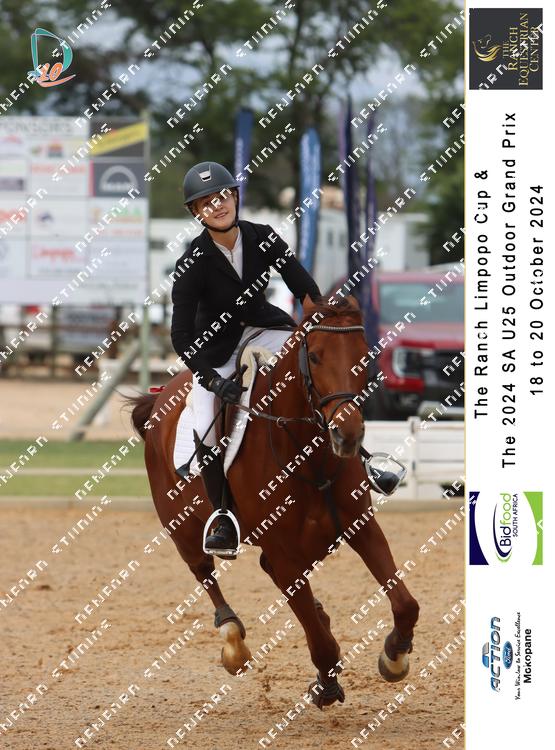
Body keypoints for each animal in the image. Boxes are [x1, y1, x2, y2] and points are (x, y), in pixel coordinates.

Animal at [125, 295, 419, 708]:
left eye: (363, 355)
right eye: (315, 357)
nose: (347, 435)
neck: (308, 456)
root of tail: (159, 398)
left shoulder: (360, 527)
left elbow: (405, 603)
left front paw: (395, 656)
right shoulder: (284, 552)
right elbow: (319, 640)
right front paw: (327, 683)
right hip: (182, 529)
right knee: (204, 573)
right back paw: (233, 643)